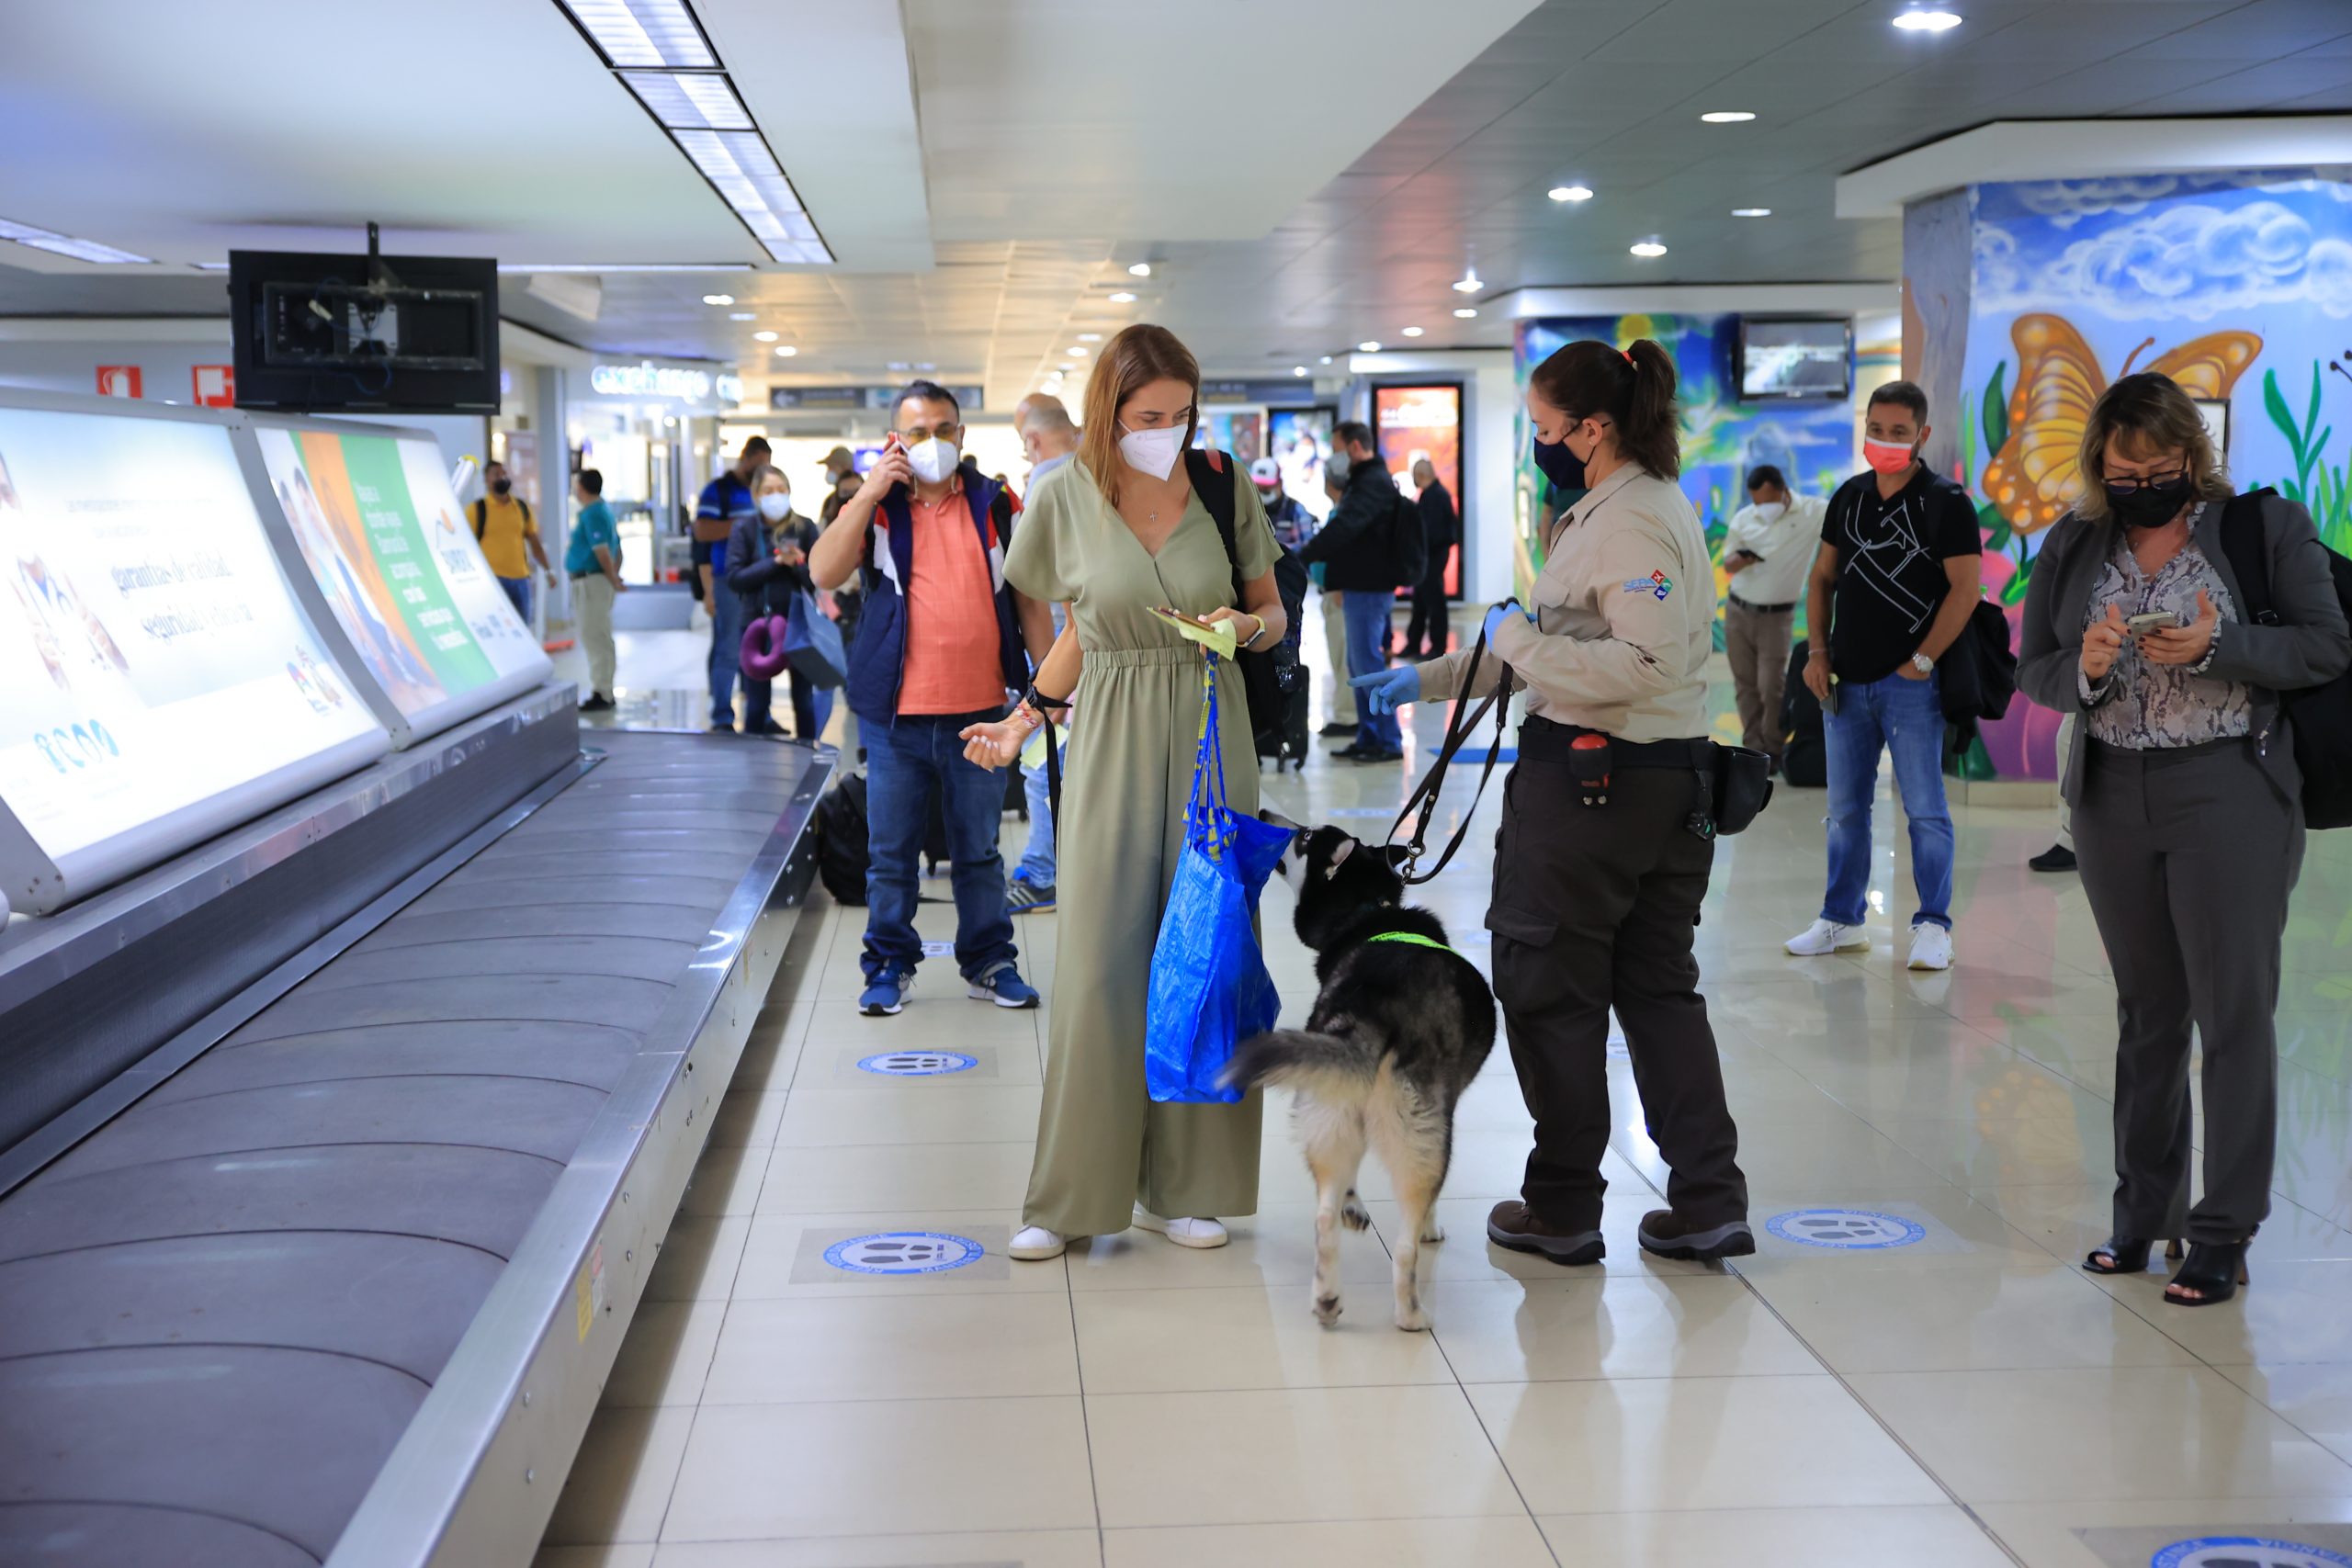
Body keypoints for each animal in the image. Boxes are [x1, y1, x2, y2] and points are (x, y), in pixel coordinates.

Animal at [1223, 818, 1496, 1335]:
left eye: (1305, 836)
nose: (1267, 812)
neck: (1369, 909)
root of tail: (1375, 1009)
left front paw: (1355, 1204)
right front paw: (1432, 1227)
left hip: (1329, 1105)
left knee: (1325, 1216)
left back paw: (1329, 1295)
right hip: (1424, 1137)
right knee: (1405, 1247)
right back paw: (1411, 1314)